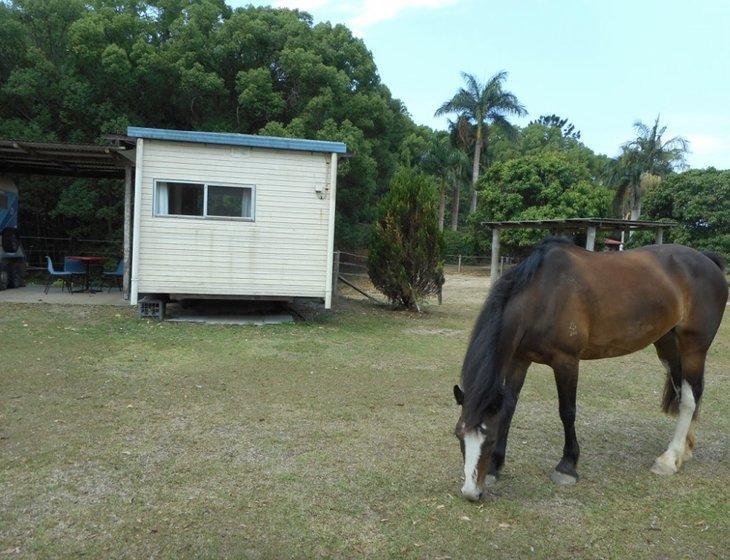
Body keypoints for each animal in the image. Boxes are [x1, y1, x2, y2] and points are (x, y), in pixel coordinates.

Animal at [452, 238, 724, 500]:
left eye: (489, 439)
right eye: (459, 436)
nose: (471, 493)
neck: (543, 296)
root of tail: (707, 260)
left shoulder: (567, 361)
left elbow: (567, 411)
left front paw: (567, 466)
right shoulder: (520, 360)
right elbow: (509, 408)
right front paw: (496, 467)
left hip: (693, 348)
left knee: (689, 398)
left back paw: (670, 459)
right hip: (668, 346)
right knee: (685, 393)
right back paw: (684, 449)